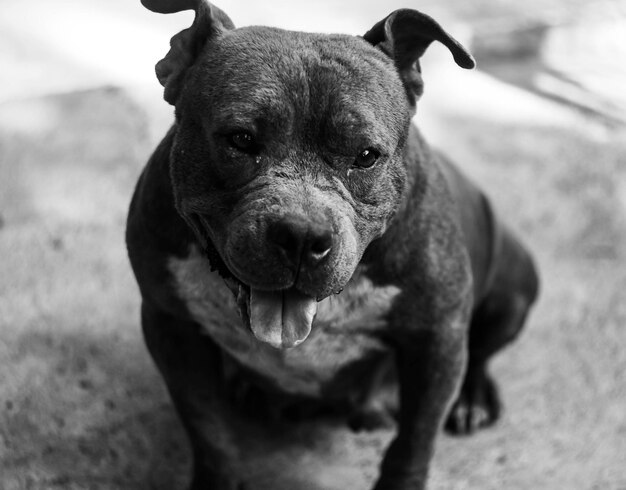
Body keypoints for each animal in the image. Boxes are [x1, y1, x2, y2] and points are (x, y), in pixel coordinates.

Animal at [125, 1, 536, 488]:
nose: (302, 235)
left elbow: (413, 445)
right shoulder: (171, 323)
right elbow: (209, 430)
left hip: (515, 286)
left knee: (483, 353)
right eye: (240, 139)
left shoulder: (438, 340)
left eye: (367, 156)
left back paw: (471, 399)